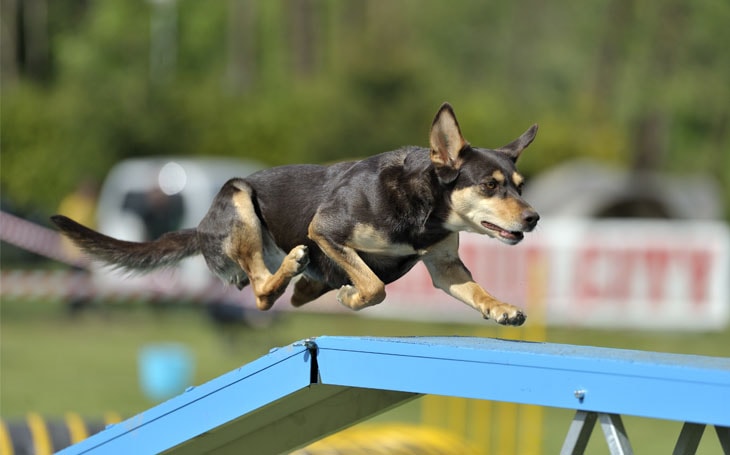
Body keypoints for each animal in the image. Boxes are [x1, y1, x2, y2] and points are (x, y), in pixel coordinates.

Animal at [54, 103, 536, 324]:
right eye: (490, 186)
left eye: (520, 185)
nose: (533, 219)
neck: (424, 211)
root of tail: (200, 226)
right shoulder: (326, 230)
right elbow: (374, 286)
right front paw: (353, 297)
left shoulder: (444, 264)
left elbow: (475, 290)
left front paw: (501, 308)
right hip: (239, 201)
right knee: (262, 293)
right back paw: (294, 268)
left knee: (284, 292)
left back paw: (306, 283)